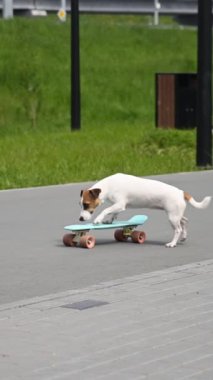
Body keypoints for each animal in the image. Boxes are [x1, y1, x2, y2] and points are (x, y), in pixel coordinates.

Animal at [79, 174, 211, 248]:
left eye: (86, 204)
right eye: (80, 205)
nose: (80, 219)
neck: (109, 186)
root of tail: (181, 192)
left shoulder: (120, 204)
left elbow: (106, 210)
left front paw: (98, 219)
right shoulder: (117, 205)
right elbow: (113, 213)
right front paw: (110, 221)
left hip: (172, 217)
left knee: (178, 229)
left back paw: (172, 243)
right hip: (176, 214)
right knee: (184, 221)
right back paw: (183, 237)